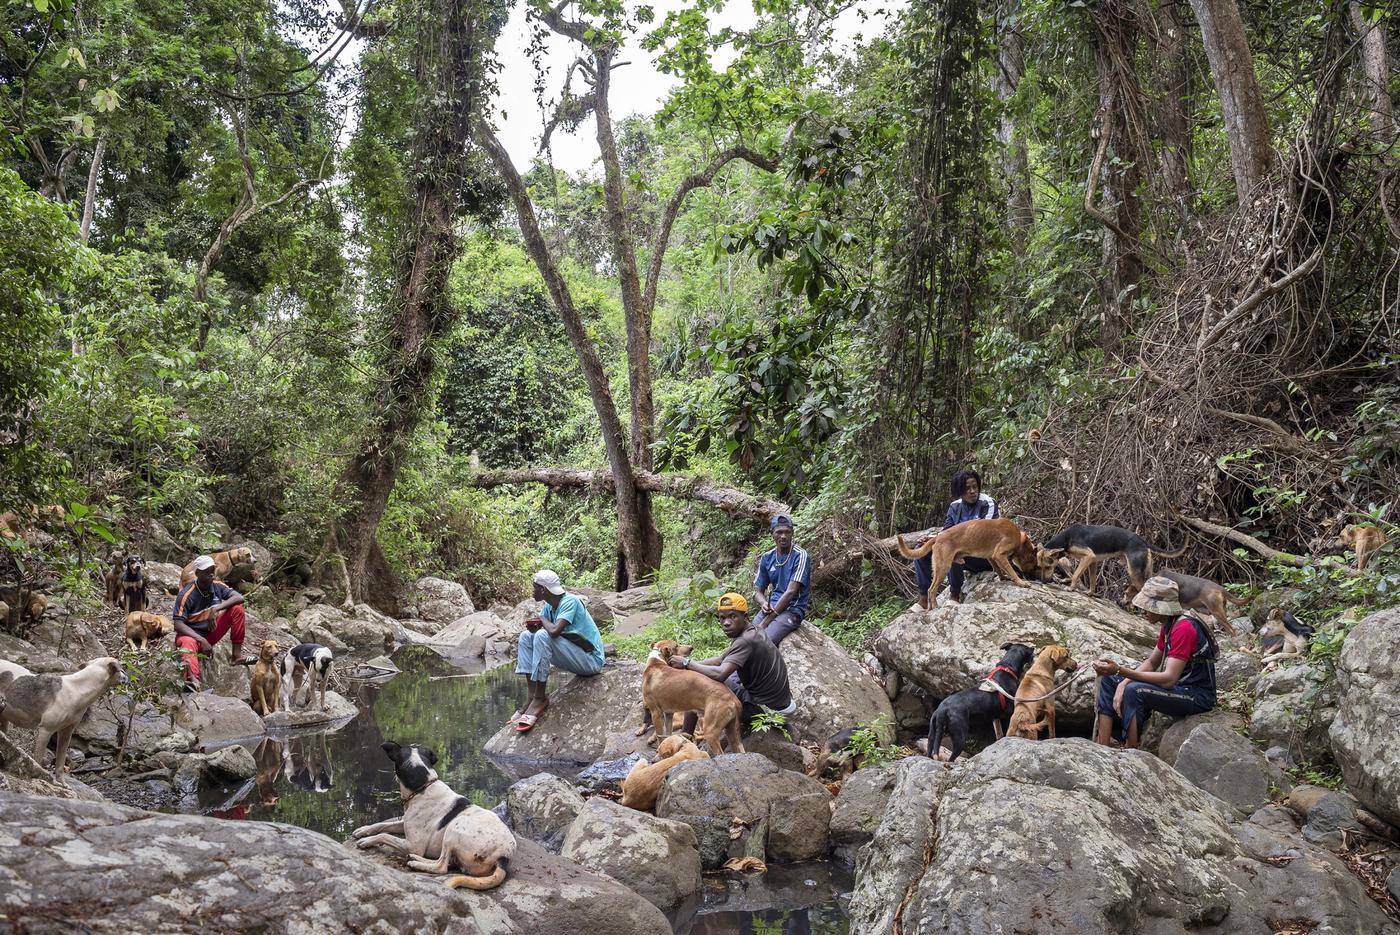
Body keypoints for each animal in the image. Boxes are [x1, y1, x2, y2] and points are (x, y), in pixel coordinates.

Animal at [352, 739, 518, 890]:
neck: (423, 786)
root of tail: (504, 857)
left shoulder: (413, 845)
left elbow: (384, 835)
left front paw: (367, 841)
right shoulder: (404, 823)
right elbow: (382, 825)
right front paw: (363, 830)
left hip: (454, 828)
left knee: (441, 866)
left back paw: (415, 862)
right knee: (447, 862)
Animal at [896, 515, 1041, 610]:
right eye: (1034, 566)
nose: (1034, 578)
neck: (1020, 540)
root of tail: (938, 537)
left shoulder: (992, 557)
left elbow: (998, 569)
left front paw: (1003, 577)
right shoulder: (999, 555)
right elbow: (1011, 571)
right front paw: (1021, 582)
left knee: (930, 589)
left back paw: (930, 609)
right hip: (944, 566)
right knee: (931, 590)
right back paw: (936, 607)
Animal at [1036, 526, 1187, 599]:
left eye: (1048, 567)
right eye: (1040, 567)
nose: (1043, 581)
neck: (1067, 538)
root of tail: (1143, 542)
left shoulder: (1088, 556)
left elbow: (1075, 575)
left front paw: (1071, 588)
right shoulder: (1092, 561)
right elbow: (1092, 580)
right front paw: (1090, 593)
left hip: (1134, 573)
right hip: (1145, 571)